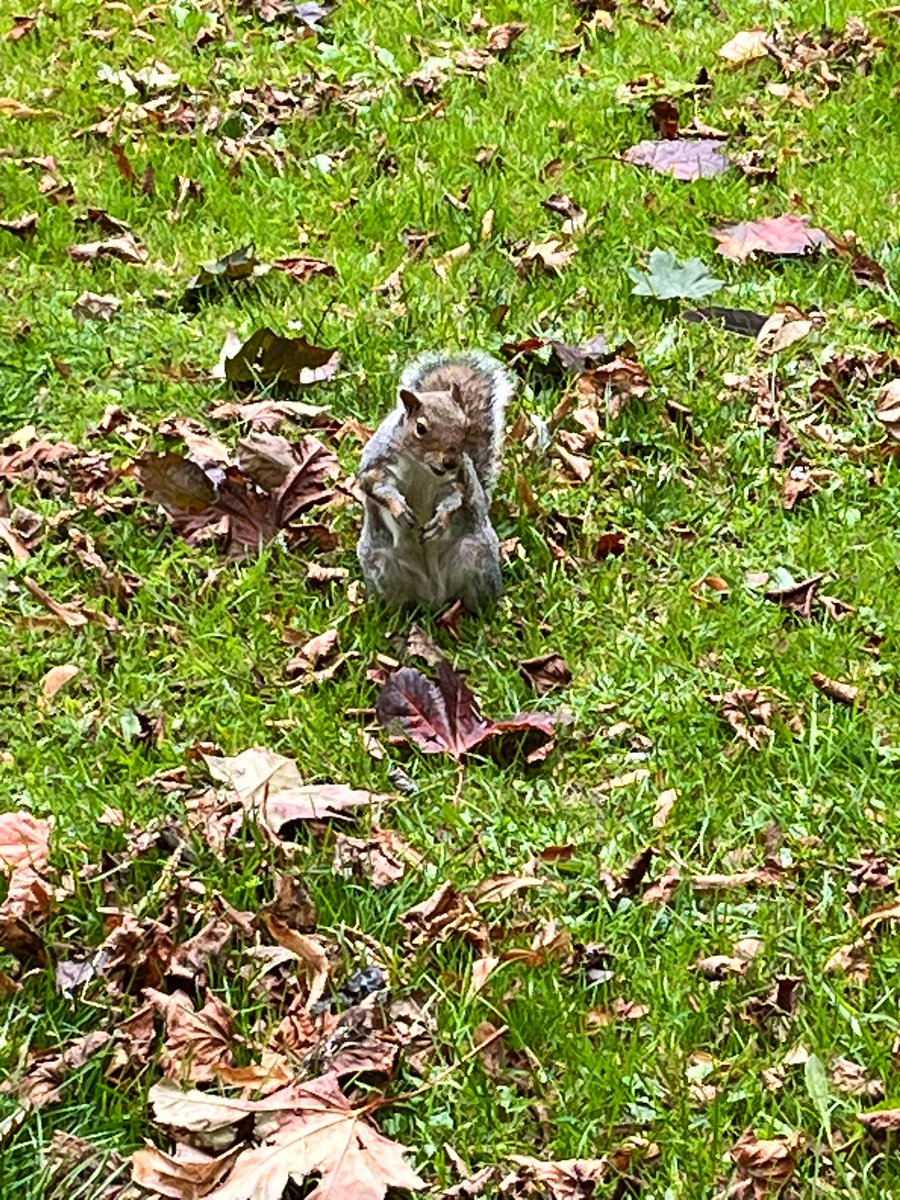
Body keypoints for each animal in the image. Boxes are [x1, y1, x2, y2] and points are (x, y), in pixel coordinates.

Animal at [356, 350, 514, 611]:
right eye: (420, 428)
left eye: (467, 425)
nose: (451, 461)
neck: (422, 467)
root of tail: (432, 596)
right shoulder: (377, 465)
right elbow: (374, 486)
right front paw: (400, 510)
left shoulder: (457, 481)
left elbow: (455, 499)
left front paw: (440, 521)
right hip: (381, 564)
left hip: (476, 555)